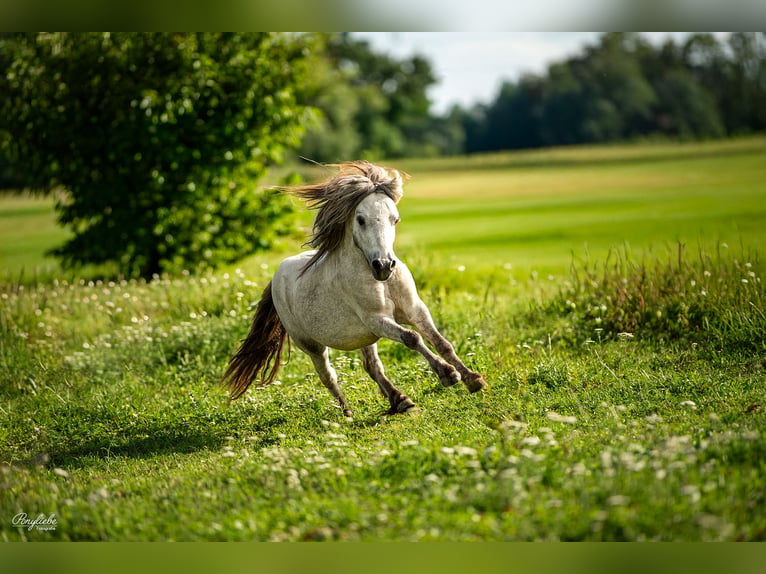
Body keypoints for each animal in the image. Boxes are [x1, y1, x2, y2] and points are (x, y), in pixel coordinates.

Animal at [221, 160, 486, 416]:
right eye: (361, 219)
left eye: (395, 219)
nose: (384, 265)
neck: (381, 282)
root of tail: (277, 275)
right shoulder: (376, 319)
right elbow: (412, 338)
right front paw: (448, 374)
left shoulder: (414, 309)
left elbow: (441, 342)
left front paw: (473, 380)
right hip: (313, 346)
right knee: (328, 377)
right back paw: (348, 414)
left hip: (364, 337)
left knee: (372, 367)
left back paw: (401, 401)